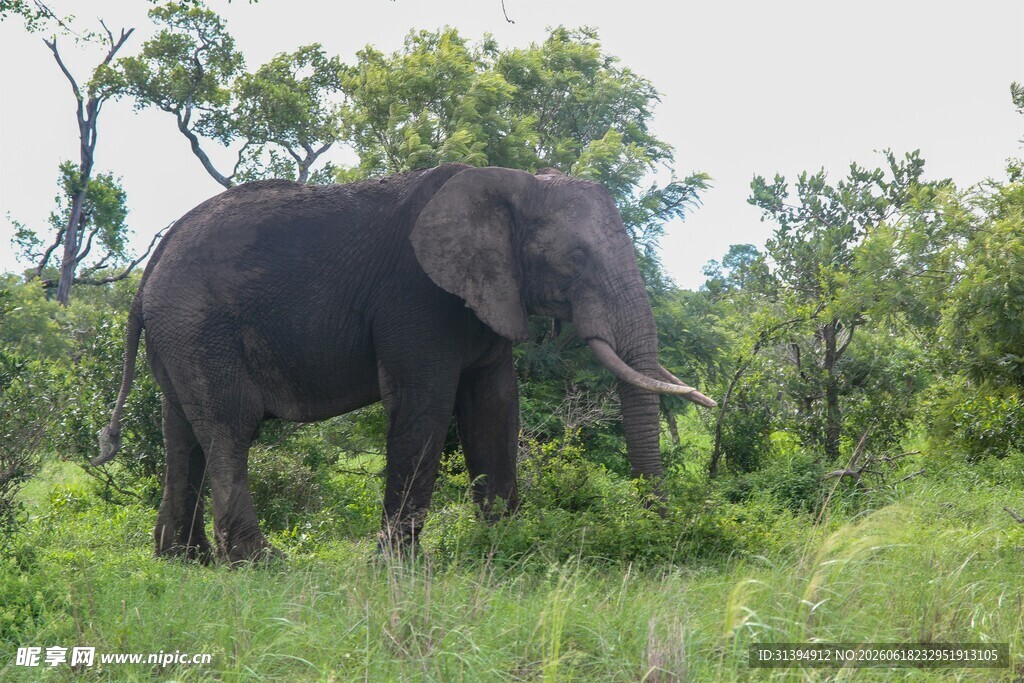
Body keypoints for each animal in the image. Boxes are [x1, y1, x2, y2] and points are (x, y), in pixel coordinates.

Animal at [97, 163, 716, 564]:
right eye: (577, 258)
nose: (662, 528)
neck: (515, 183)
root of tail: (150, 267)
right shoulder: (416, 298)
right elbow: (426, 405)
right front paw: (398, 565)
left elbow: (494, 407)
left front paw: (506, 546)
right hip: (200, 325)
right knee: (231, 428)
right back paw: (259, 562)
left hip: (178, 334)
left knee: (183, 434)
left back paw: (183, 560)